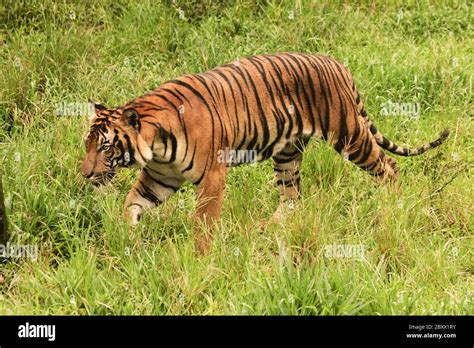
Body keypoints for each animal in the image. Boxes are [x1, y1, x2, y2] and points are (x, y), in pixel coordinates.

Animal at [80, 54, 448, 254]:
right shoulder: (159, 177)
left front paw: (200, 257)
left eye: (106, 146)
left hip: (349, 135)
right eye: (87, 144)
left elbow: (203, 222)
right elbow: (132, 203)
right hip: (288, 153)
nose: (85, 174)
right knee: (292, 197)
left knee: (388, 165)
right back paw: (267, 228)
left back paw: (395, 206)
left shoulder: (213, 176)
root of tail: (336, 62)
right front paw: (125, 238)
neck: (156, 144)